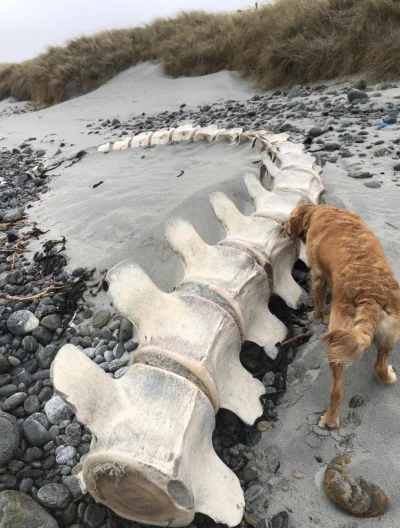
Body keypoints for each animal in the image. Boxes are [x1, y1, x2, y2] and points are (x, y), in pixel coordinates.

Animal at [284, 204, 400, 426]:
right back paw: (388, 376)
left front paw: (314, 315)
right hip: (389, 334)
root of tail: (370, 296)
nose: (282, 224)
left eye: (289, 217)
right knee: (379, 365)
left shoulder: (318, 275)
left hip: (336, 344)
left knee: (337, 391)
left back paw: (329, 419)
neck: (317, 212)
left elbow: (319, 302)